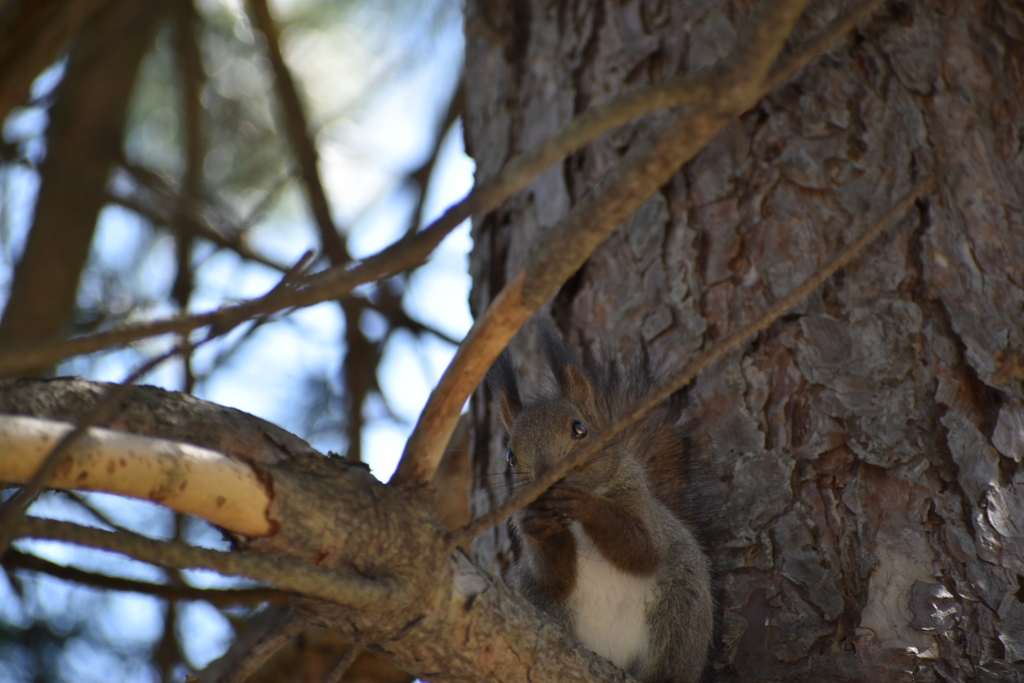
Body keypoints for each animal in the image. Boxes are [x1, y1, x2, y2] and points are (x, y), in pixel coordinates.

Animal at [487, 327, 712, 683]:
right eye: (510, 457)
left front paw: (585, 502)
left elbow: (642, 549)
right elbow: (555, 580)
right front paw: (539, 526)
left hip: (681, 610)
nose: (547, 479)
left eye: (580, 429)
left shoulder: (639, 502)